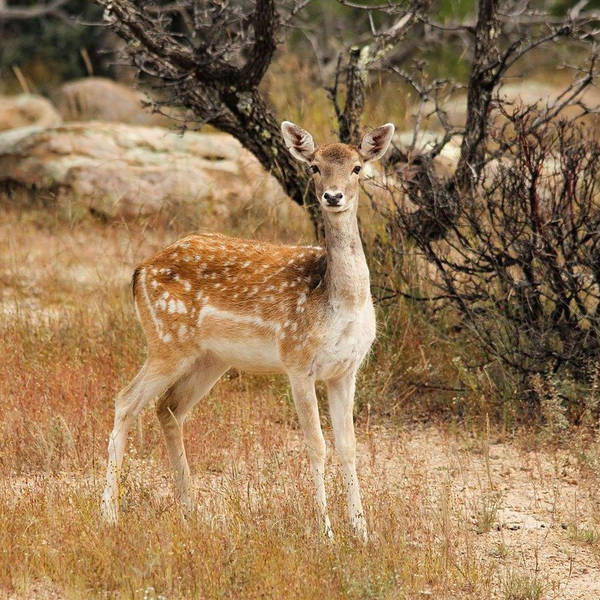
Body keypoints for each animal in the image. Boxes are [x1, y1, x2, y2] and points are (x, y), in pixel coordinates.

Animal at [99, 119, 394, 540]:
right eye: (314, 167)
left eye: (357, 168)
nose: (333, 196)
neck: (338, 303)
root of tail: (139, 271)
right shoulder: (297, 360)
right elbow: (316, 444)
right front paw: (326, 533)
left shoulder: (346, 370)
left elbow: (349, 446)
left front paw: (362, 534)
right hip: (166, 341)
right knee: (125, 400)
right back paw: (108, 514)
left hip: (210, 358)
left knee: (169, 407)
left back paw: (191, 510)